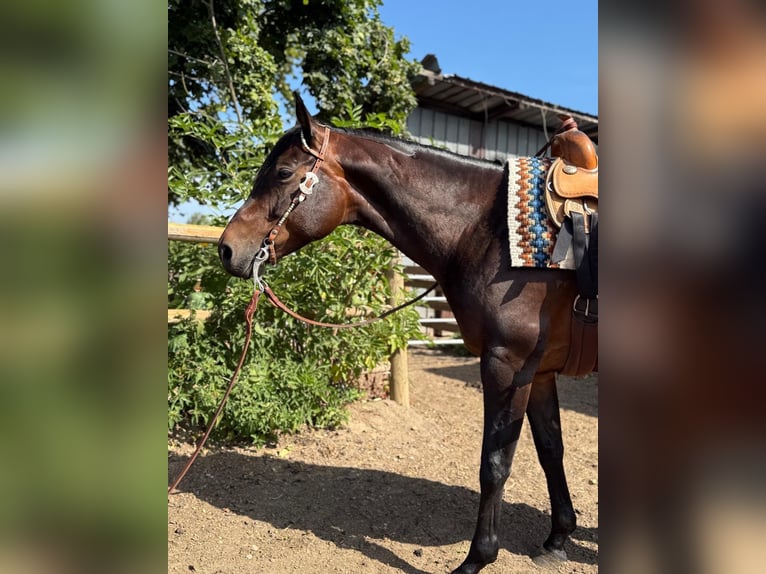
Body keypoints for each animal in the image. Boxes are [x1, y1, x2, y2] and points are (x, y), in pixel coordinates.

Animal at [219, 92, 587, 574]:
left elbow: (494, 463)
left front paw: (477, 558)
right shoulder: (538, 371)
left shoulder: (508, 365)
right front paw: (558, 537)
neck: (489, 230)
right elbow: (550, 450)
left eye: (282, 173)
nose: (227, 249)